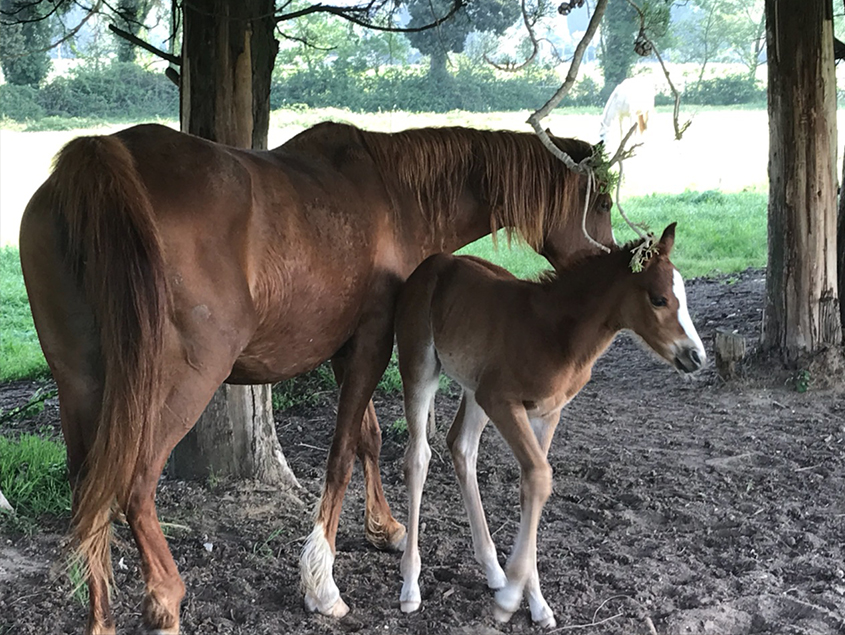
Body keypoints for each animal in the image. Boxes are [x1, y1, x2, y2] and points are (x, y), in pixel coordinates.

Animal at [19, 121, 612, 632]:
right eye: (602, 201)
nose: (606, 264)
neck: (393, 193)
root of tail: (105, 158)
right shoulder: (373, 343)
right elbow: (343, 452)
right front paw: (322, 583)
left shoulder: (347, 350)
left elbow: (369, 437)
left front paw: (385, 529)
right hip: (182, 382)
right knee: (135, 483)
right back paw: (165, 598)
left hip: (80, 382)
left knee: (88, 489)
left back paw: (101, 617)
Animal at [396, 224, 704, 628]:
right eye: (658, 299)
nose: (696, 356)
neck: (557, 335)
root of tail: (431, 264)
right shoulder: (502, 401)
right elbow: (540, 476)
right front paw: (510, 600)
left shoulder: (547, 412)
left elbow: (533, 487)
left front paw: (535, 601)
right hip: (421, 368)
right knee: (418, 457)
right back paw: (411, 586)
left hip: (475, 388)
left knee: (462, 448)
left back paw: (493, 569)